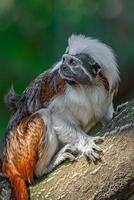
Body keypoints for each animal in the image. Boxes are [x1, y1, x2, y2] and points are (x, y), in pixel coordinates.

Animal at [2, 34, 119, 198]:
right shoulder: (60, 93)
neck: (84, 87)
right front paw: (86, 143)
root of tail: (8, 164)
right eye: (64, 60)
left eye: (72, 63)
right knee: (43, 116)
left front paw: (112, 114)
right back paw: (47, 166)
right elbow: (56, 117)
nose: (63, 67)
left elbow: (104, 110)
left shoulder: (105, 89)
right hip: (20, 149)